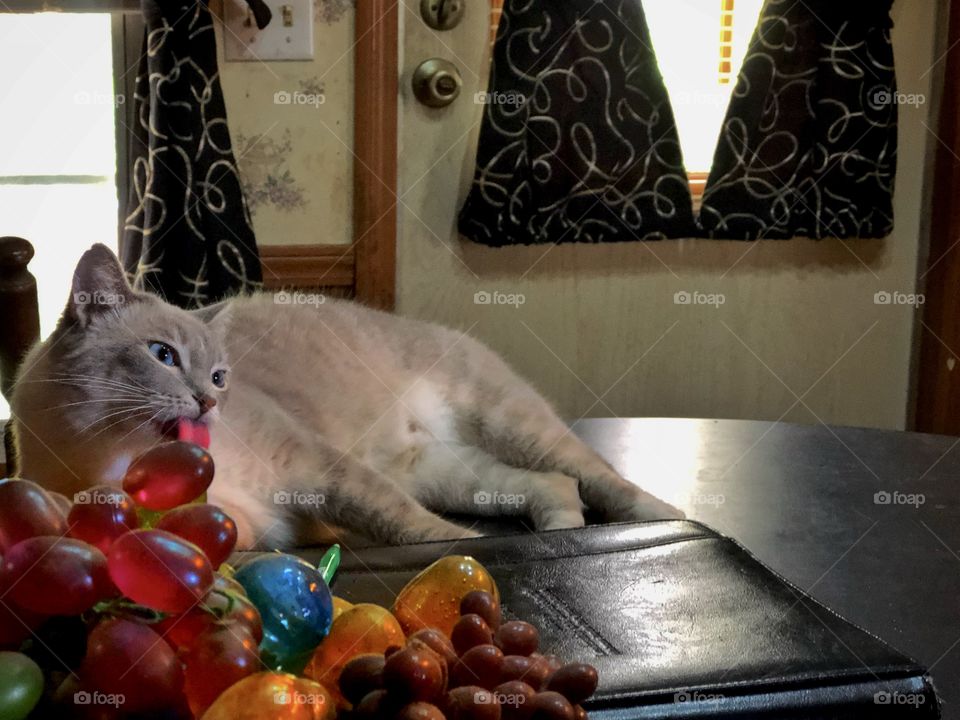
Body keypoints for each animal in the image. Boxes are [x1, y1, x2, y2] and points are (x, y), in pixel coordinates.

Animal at [9, 245, 684, 548]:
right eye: (163, 356)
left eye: (220, 376)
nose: (208, 402)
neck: (110, 462)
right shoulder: (236, 525)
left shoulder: (317, 466)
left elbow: (414, 529)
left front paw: (465, 560)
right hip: (447, 473)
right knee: (554, 489)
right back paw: (558, 538)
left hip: (509, 425)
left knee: (599, 480)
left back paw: (668, 522)